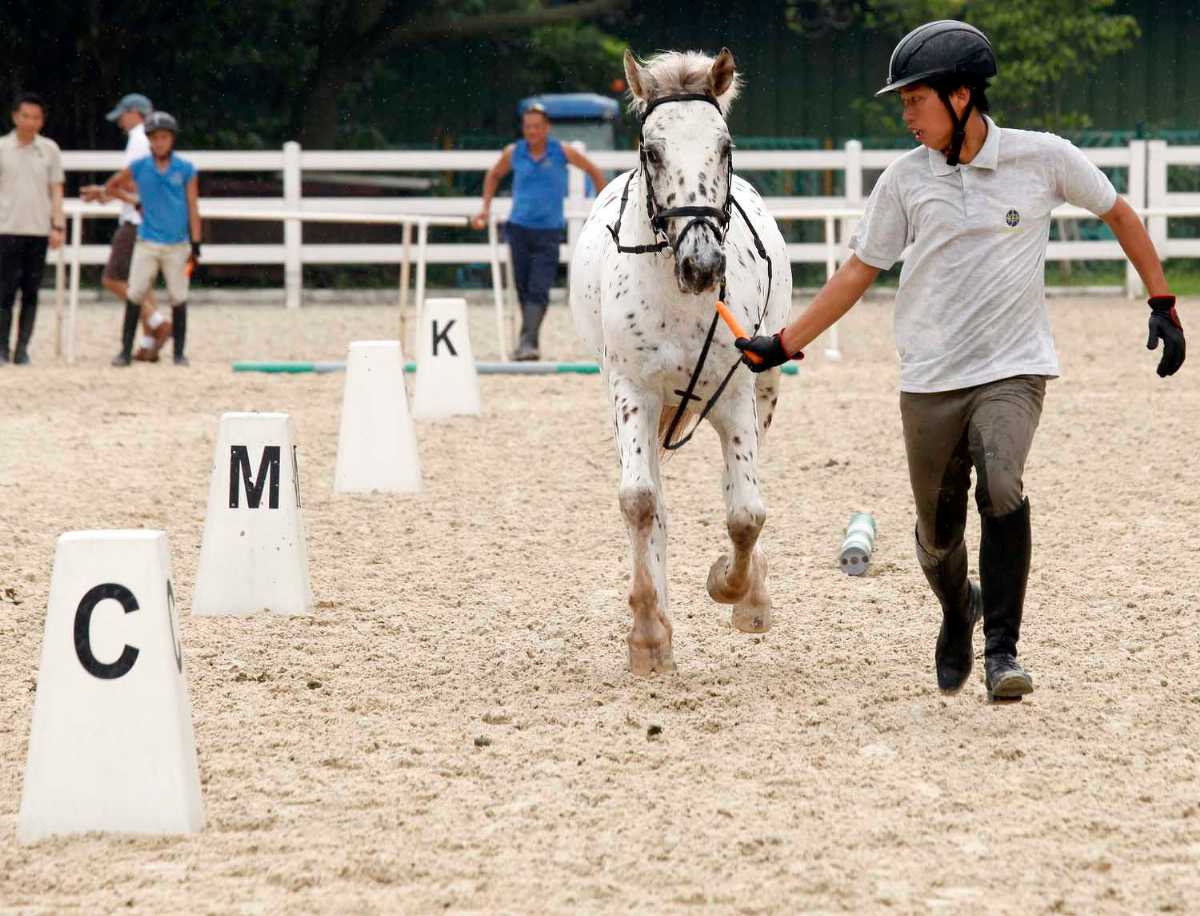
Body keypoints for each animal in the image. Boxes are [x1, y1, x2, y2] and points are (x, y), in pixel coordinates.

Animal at [568, 48, 792, 672]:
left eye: (725, 146)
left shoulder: (736, 397)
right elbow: (642, 503)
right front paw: (649, 635)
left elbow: (745, 512)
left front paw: (736, 591)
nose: (702, 264)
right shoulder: (632, 396)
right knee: (655, 501)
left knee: (741, 491)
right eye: (652, 151)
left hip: (763, 397)